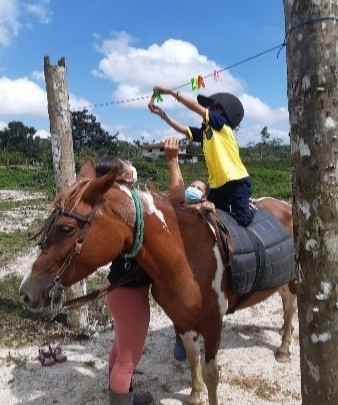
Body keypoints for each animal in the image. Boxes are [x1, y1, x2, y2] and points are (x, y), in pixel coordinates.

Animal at [19, 157, 298, 404]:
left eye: (66, 228)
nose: (26, 292)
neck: (186, 257)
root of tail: (286, 206)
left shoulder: (213, 322)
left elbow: (211, 374)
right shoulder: (181, 319)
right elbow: (193, 358)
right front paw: (194, 395)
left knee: (291, 306)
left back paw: (284, 348)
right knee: (286, 301)